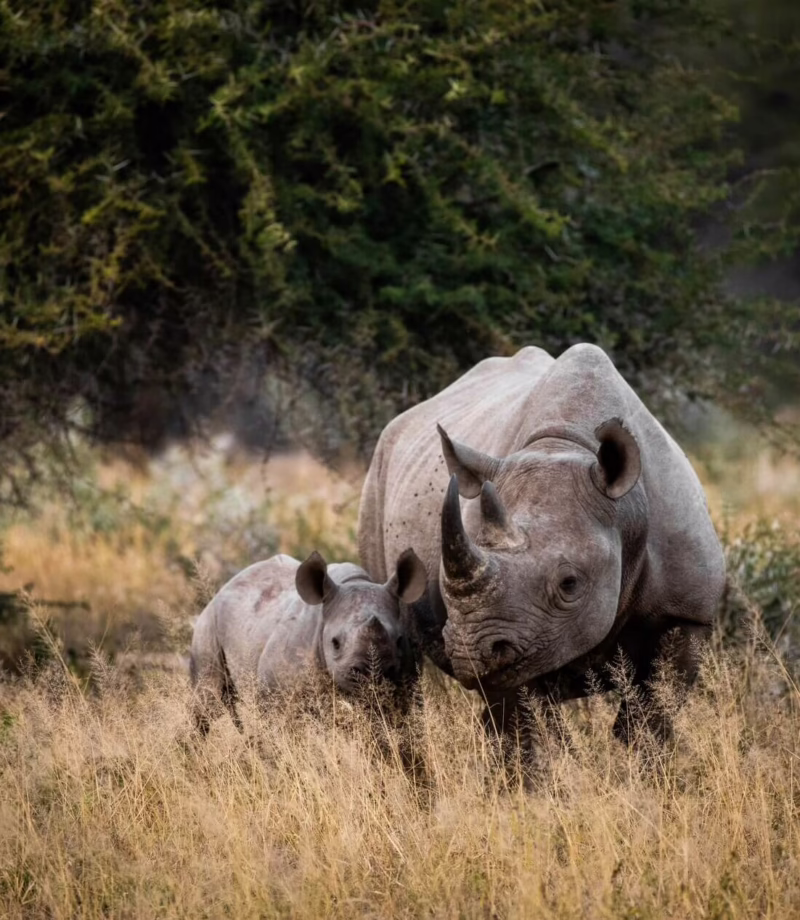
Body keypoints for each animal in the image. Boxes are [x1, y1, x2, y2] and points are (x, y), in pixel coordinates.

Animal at [189, 548, 427, 734]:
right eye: (335, 643)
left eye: (399, 640)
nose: (371, 675)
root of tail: (225, 586)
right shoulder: (276, 695)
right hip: (207, 625)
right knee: (207, 702)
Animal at [358, 344, 725, 743]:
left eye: (570, 584)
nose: (471, 652)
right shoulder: (519, 633)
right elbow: (527, 729)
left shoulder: (686, 613)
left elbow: (649, 720)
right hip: (376, 476)